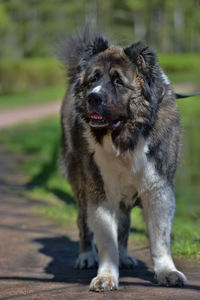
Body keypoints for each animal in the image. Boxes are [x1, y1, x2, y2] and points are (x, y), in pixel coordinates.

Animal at [59, 31, 186, 292]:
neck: (126, 135)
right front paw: (106, 276)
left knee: (124, 224)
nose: (93, 97)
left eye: (118, 81)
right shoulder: (99, 190)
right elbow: (107, 240)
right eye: (93, 79)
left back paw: (125, 257)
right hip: (80, 184)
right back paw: (86, 256)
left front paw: (167, 271)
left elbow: (159, 238)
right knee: (83, 222)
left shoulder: (158, 189)